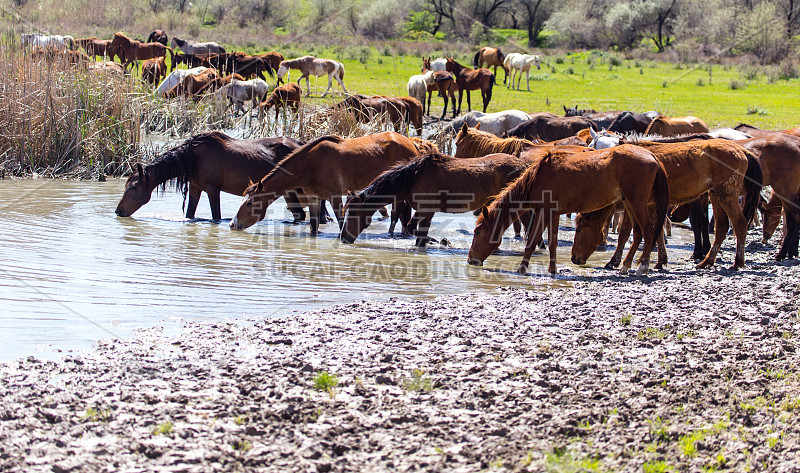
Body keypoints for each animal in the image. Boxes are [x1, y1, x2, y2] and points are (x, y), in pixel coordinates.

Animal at [115, 131, 310, 221]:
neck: (192, 158)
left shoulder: (213, 189)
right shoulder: (195, 187)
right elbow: (190, 214)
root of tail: (302, 143)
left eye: (134, 187)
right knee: (299, 214)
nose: (118, 211)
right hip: (289, 191)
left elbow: (216, 216)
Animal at [230, 131, 424, 234]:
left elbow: (340, 222)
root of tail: (412, 144)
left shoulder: (335, 197)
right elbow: (314, 227)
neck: (312, 164)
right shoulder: (314, 198)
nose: (233, 224)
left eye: (250, 203)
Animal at [340, 152, 532, 247]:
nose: (343, 238)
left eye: (353, 214)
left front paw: (436, 240)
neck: (413, 177)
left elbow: (413, 228)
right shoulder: (426, 211)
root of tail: (523, 166)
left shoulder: (425, 209)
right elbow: (417, 233)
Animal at [468, 146, 668, 274]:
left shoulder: (543, 213)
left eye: (477, 232)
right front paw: (553, 269)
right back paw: (626, 266)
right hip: (629, 203)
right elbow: (553, 243)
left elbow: (532, 241)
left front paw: (522, 268)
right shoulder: (553, 214)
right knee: (638, 233)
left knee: (648, 230)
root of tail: (652, 156)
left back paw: (642, 267)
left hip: (637, 203)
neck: (537, 178)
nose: (471, 260)